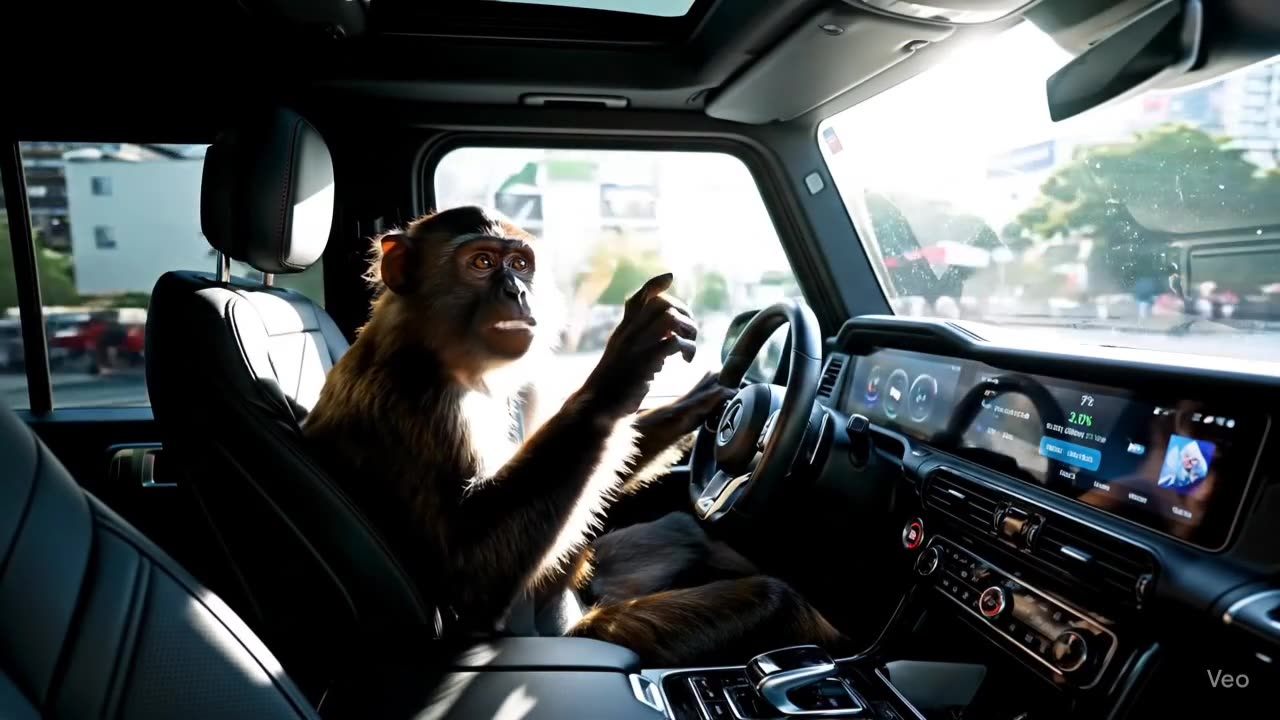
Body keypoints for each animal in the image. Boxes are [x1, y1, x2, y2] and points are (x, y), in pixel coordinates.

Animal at [302, 205, 848, 666]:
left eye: (519, 264)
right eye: (481, 262)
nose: (516, 292)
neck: (434, 351)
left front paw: (708, 399)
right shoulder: (422, 402)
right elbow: (473, 581)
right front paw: (624, 364)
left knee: (680, 531)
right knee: (771, 603)